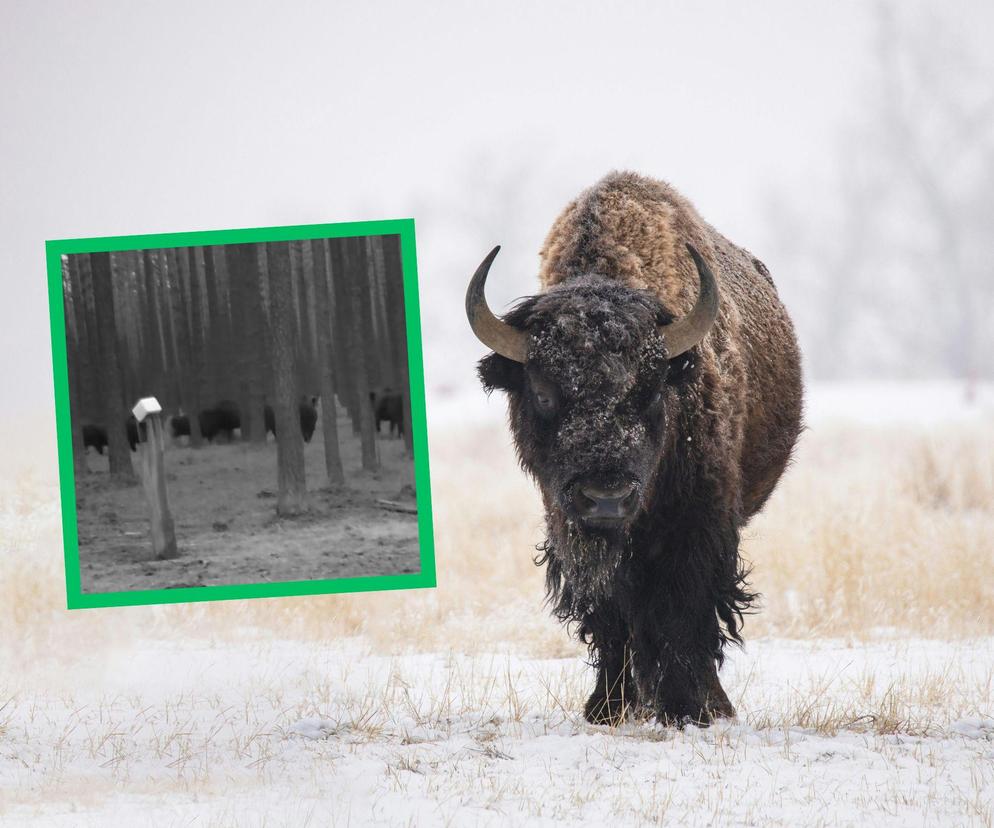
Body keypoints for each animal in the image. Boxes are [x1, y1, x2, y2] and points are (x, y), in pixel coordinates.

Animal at [468, 171, 804, 728]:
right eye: (543, 392)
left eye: (649, 391)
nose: (606, 497)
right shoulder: (570, 527)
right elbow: (611, 614)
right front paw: (606, 707)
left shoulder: (700, 522)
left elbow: (687, 608)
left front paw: (689, 708)